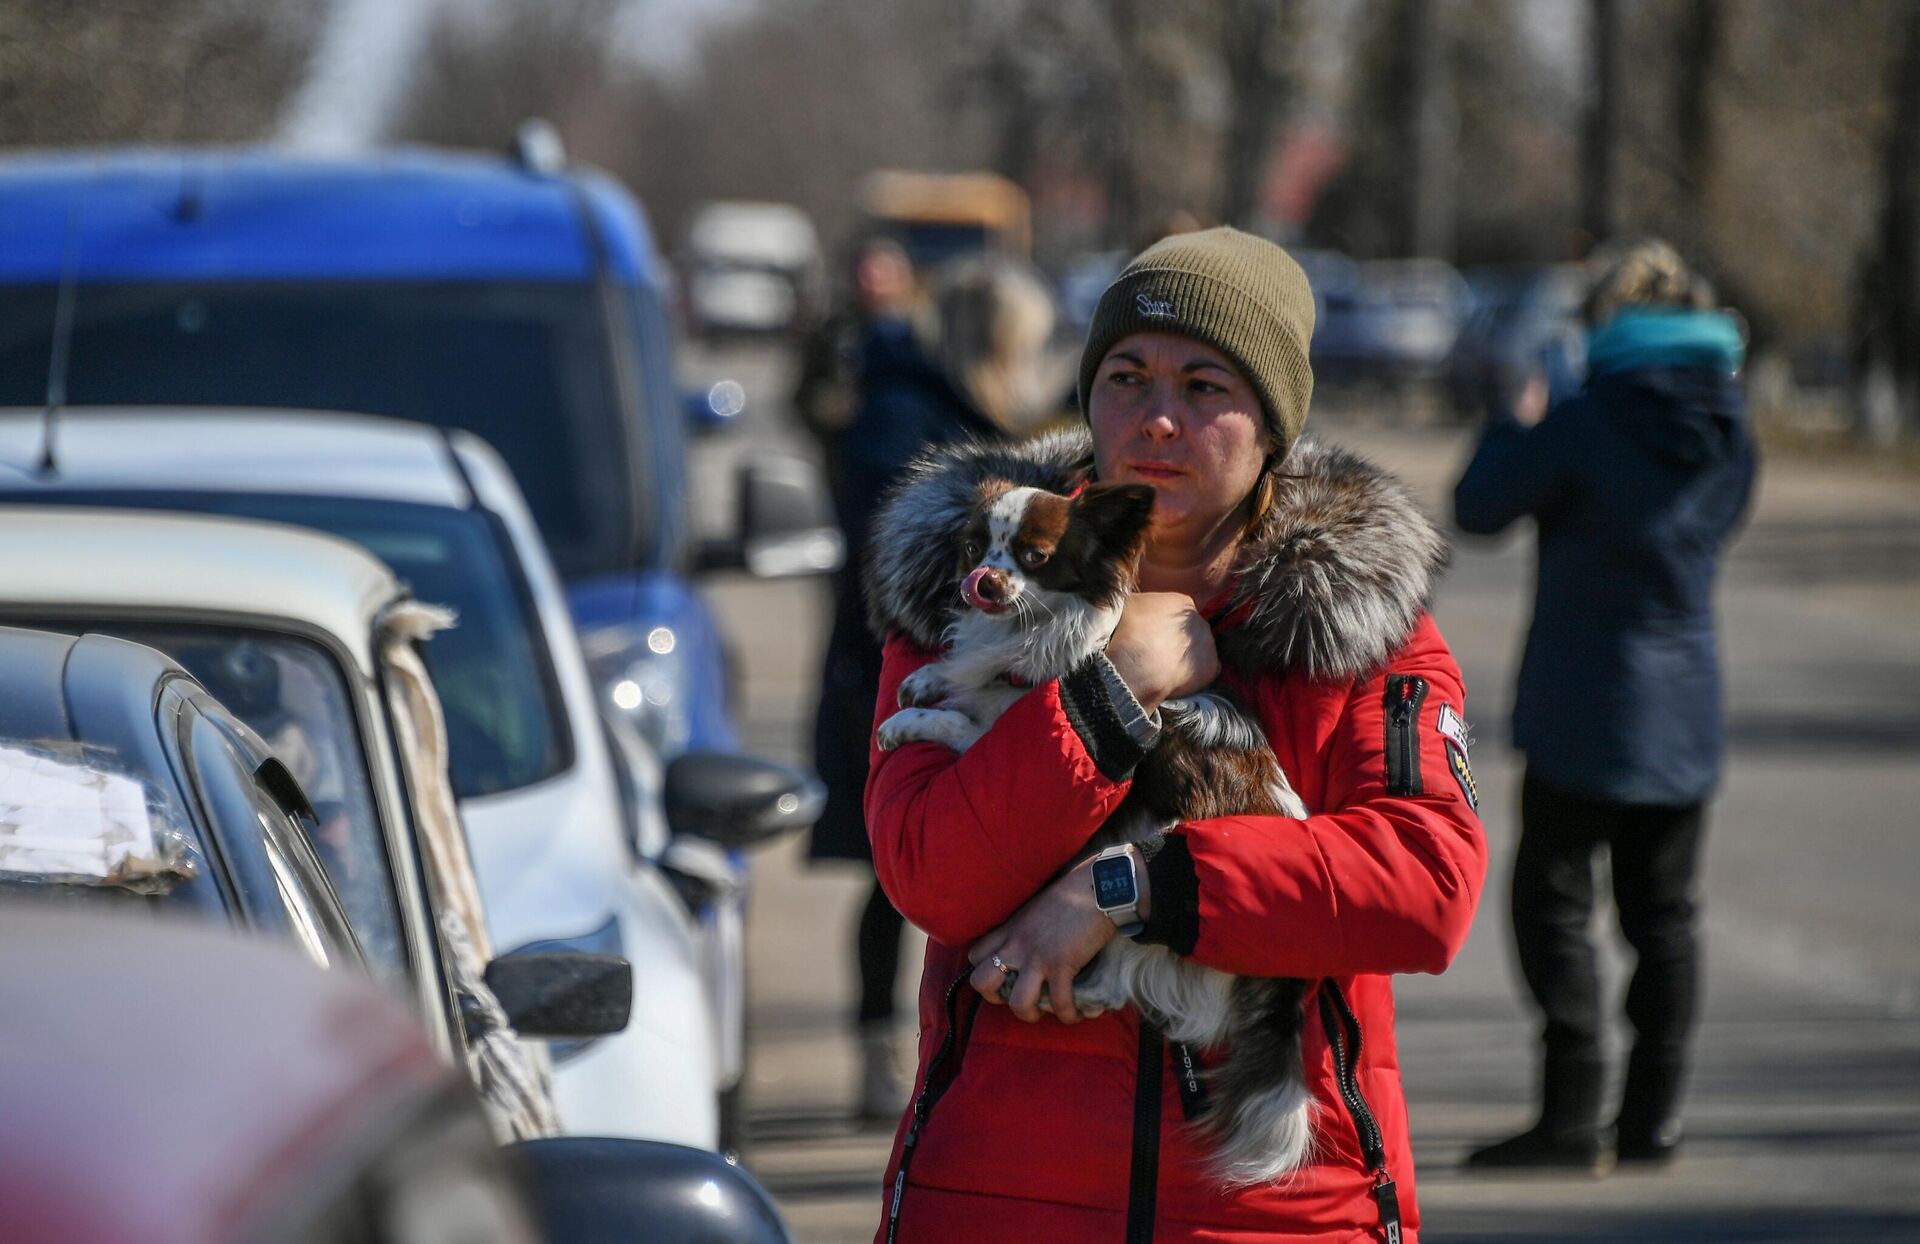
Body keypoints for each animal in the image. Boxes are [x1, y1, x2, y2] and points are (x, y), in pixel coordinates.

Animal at [875, 476, 1313, 1182]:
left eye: (1034, 556)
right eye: (974, 547)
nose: (982, 582)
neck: (1031, 628)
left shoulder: (994, 734)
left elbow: (961, 725)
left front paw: (907, 722)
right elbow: (964, 674)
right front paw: (927, 676)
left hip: (1135, 887)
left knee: (1120, 976)